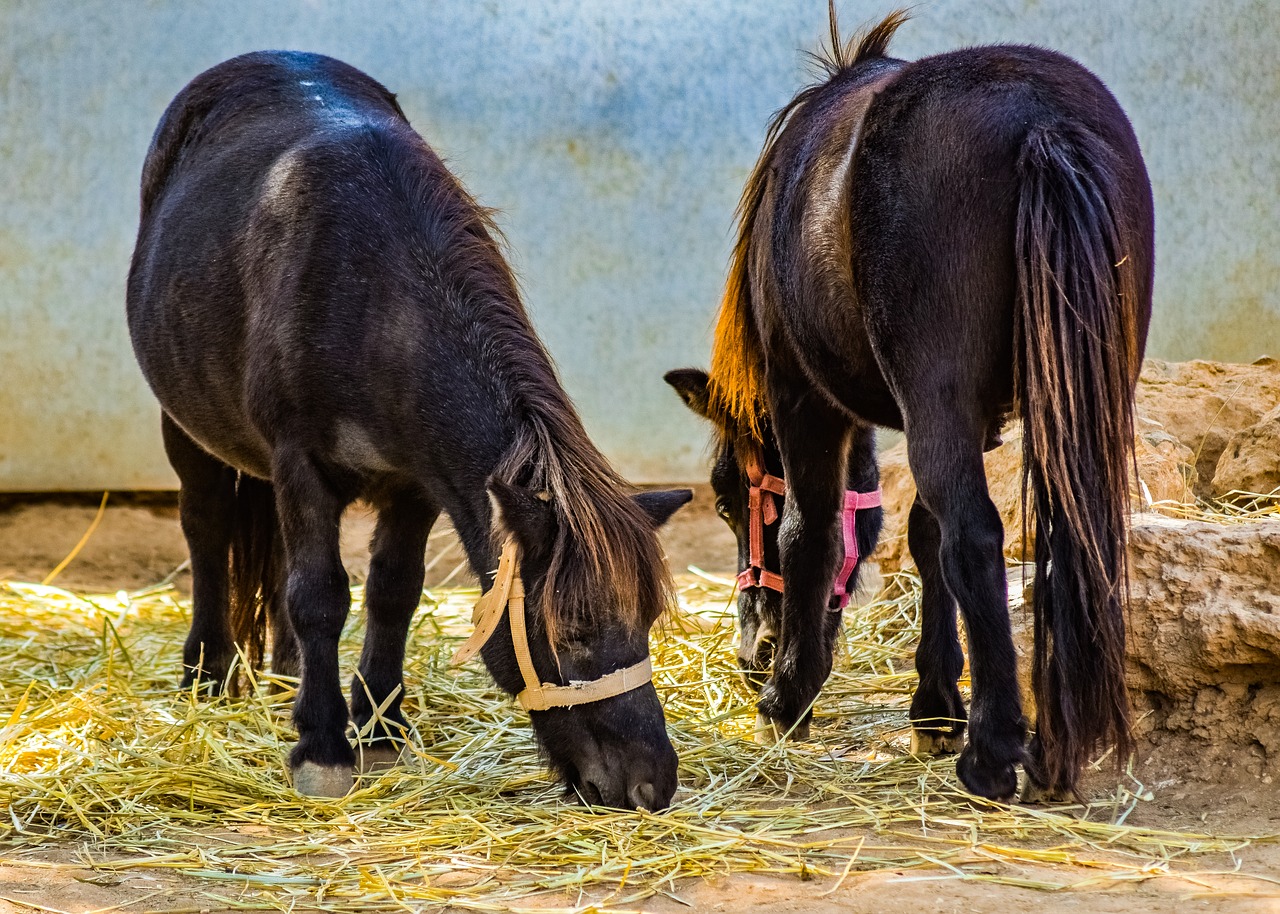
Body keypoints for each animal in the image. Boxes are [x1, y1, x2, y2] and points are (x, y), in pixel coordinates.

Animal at [127, 49, 691, 803]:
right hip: (186, 430)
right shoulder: (301, 465)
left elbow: (393, 590)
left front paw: (381, 729)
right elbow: (320, 595)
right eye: (571, 630)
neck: (375, 307)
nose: (651, 784)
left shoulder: (420, 480)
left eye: (648, 620)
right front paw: (323, 748)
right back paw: (207, 677)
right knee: (207, 528)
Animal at [665, 10, 1157, 798]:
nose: (753, 652)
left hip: (935, 399)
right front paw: (934, 703)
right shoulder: (976, 421)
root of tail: (1040, 121)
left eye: (725, 501)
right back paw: (1055, 745)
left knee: (977, 539)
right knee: (1062, 540)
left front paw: (788, 699)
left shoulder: (804, 396)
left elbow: (812, 531)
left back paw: (992, 753)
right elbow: (924, 539)